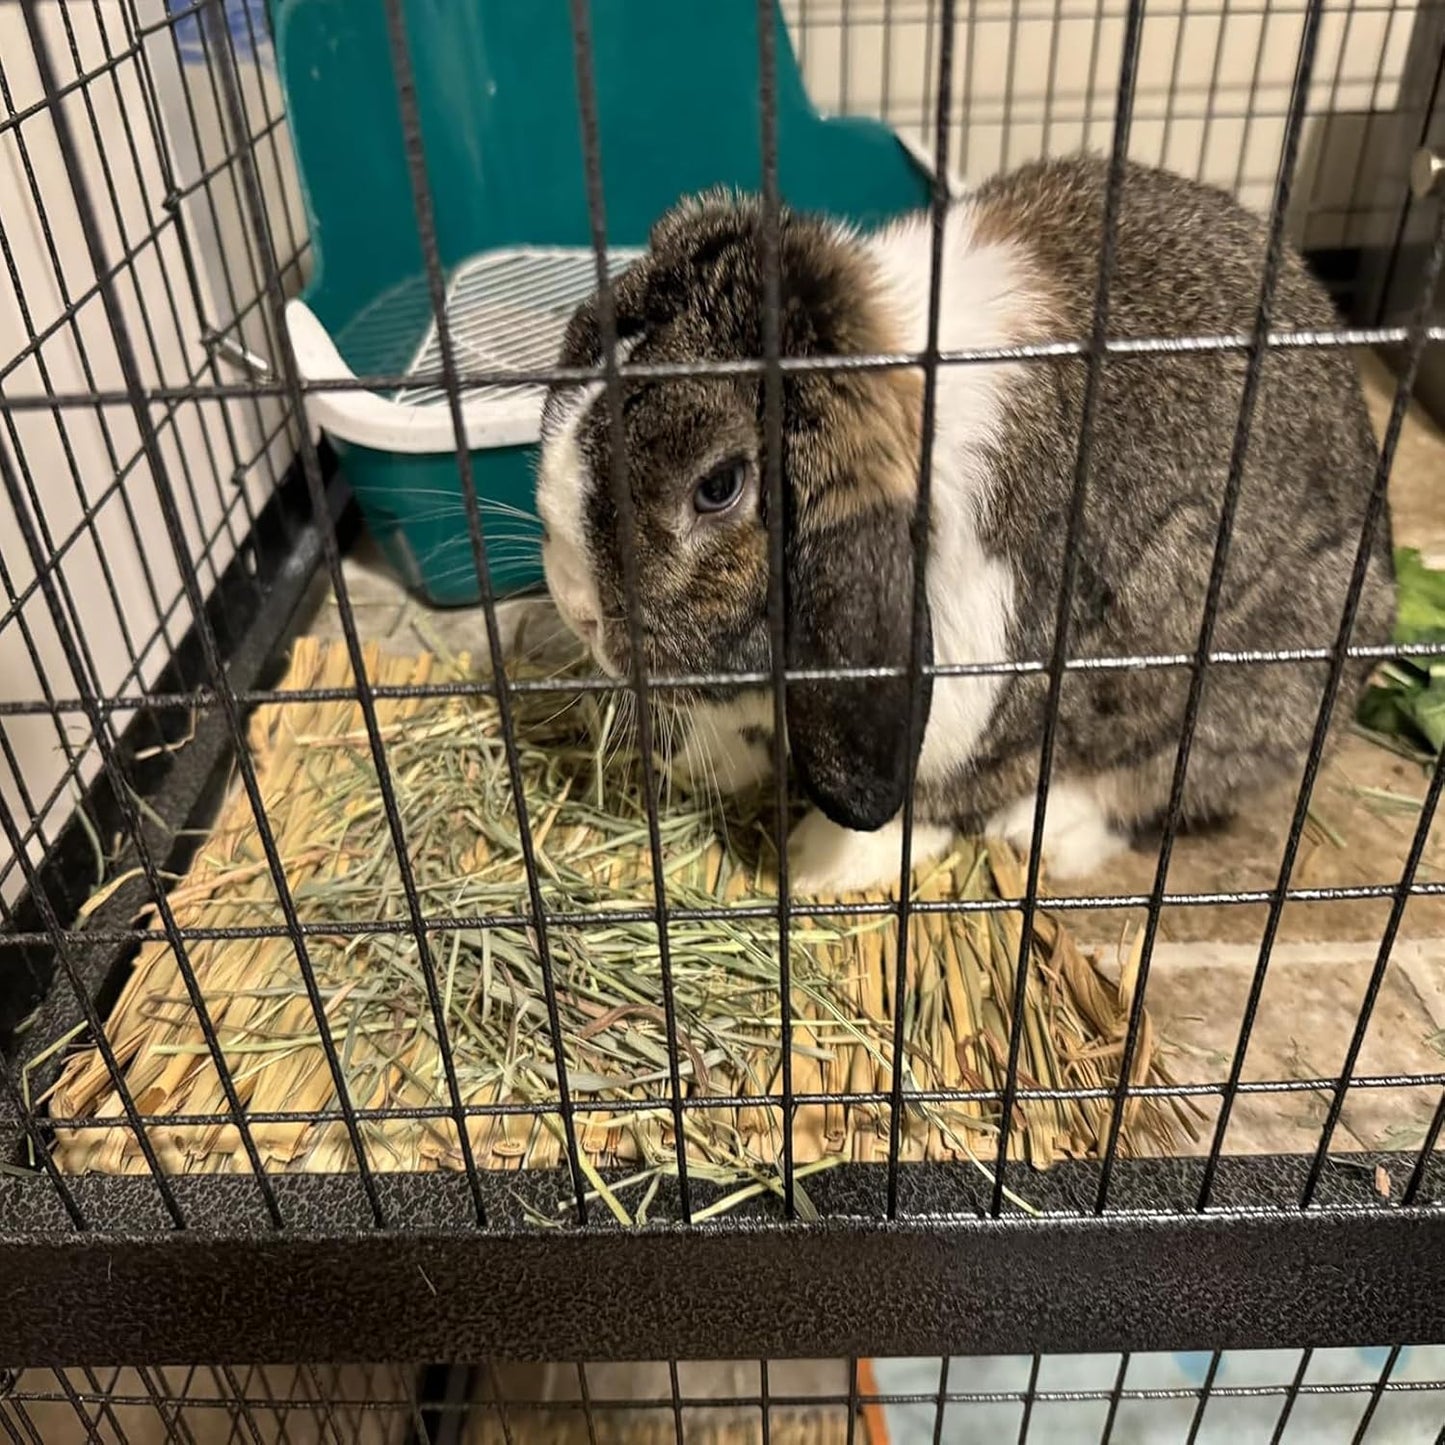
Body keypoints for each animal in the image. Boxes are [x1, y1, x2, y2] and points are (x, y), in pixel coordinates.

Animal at [534, 154, 1395, 895]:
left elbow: (932, 796)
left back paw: (1046, 832)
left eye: (717, 487)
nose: (576, 611)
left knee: (1156, 783)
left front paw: (820, 865)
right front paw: (701, 766)